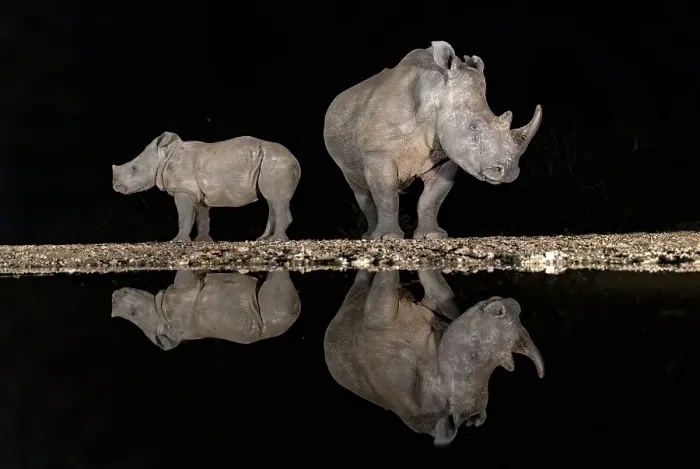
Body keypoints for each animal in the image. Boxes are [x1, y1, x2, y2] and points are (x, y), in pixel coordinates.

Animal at [112, 132, 301, 242]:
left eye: (134, 168)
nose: (116, 186)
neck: (164, 155)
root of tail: (295, 160)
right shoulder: (198, 193)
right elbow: (202, 217)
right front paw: (202, 241)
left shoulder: (183, 190)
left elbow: (184, 216)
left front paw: (177, 242)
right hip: (272, 163)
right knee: (273, 201)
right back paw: (263, 240)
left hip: (276, 164)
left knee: (276, 200)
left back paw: (276, 241)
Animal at [323, 41, 542, 240]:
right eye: (474, 127)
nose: (509, 172)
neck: (435, 93)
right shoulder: (378, 153)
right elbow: (386, 195)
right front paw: (387, 238)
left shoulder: (447, 156)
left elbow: (431, 198)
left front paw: (432, 236)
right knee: (359, 187)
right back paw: (369, 237)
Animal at [323, 269, 544, 446]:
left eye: (474, 353)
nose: (510, 307)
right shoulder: (441, 309)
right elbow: (440, 288)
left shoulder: (380, 324)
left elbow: (386, 288)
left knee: (363, 288)